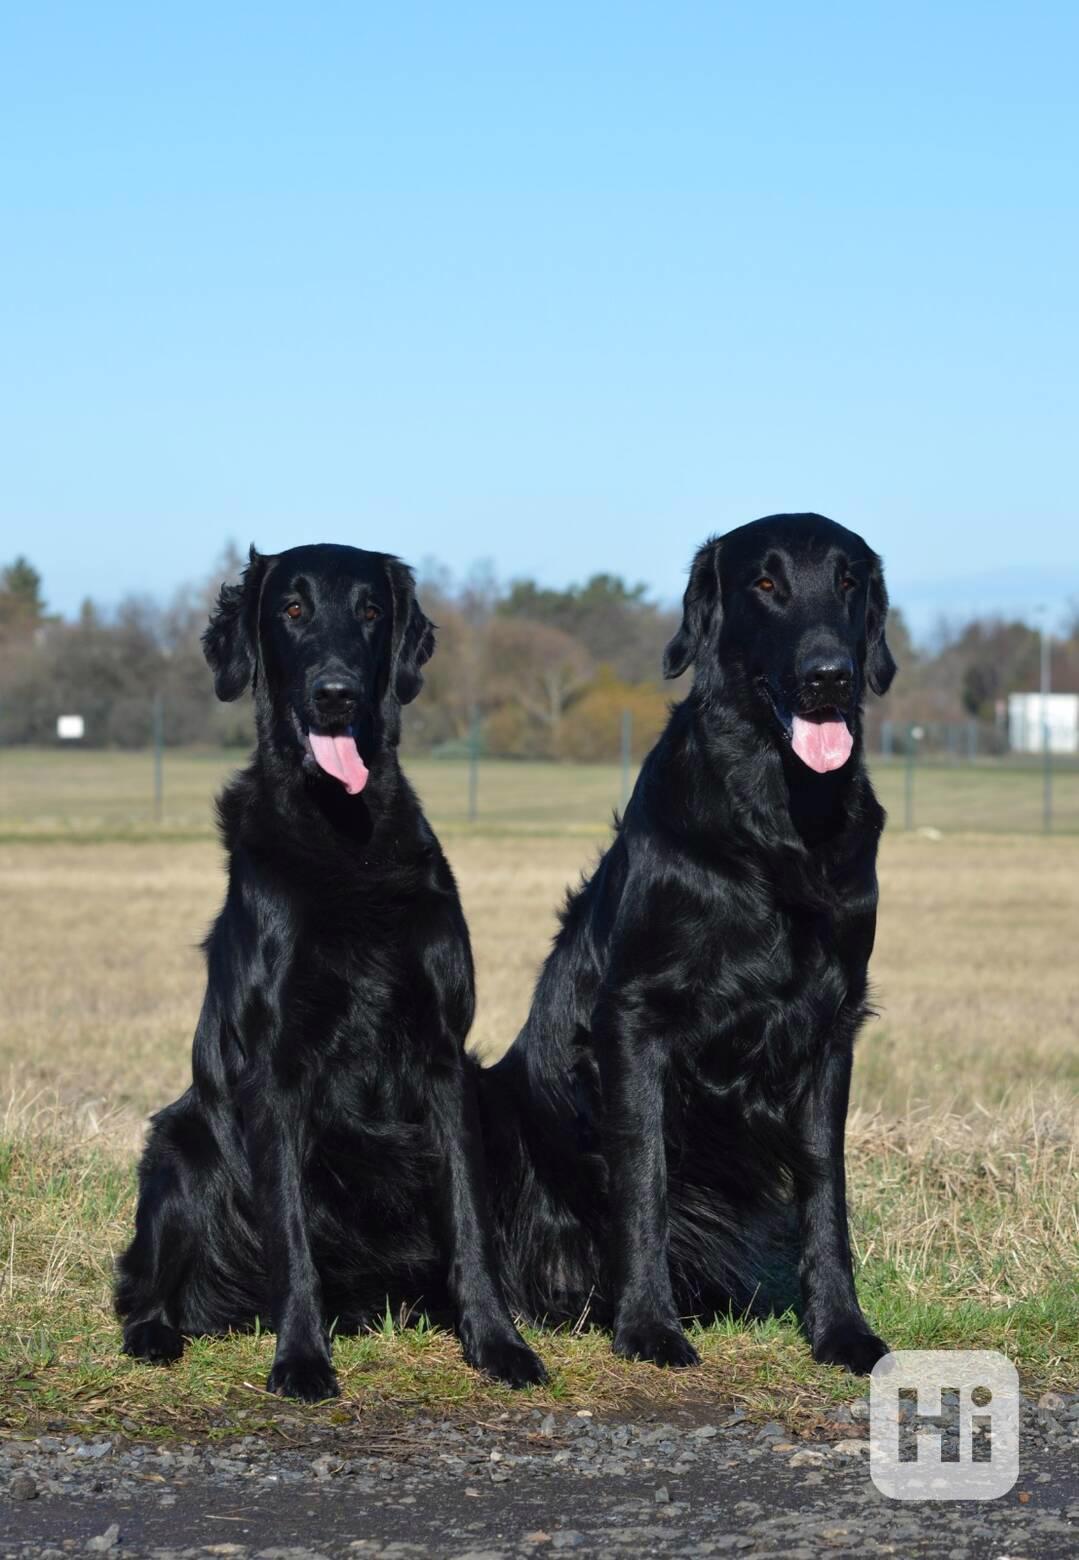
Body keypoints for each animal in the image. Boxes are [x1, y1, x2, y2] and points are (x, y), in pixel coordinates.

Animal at [116, 546, 548, 1404]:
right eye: (291, 609)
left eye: (371, 611)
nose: (337, 692)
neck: (346, 834)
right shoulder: (274, 1069)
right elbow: (290, 1235)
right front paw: (301, 1359)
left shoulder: (443, 1057)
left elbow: (470, 1219)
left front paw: (497, 1342)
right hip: (183, 1147)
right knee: (141, 1285)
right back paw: (156, 1333)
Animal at [483, 514, 898, 1379]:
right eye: (765, 583)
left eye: (847, 582)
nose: (829, 678)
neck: (778, 824)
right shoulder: (634, 1020)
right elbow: (644, 1179)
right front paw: (647, 1326)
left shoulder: (831, 1029)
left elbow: (825, 1189)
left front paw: (840, 1328)